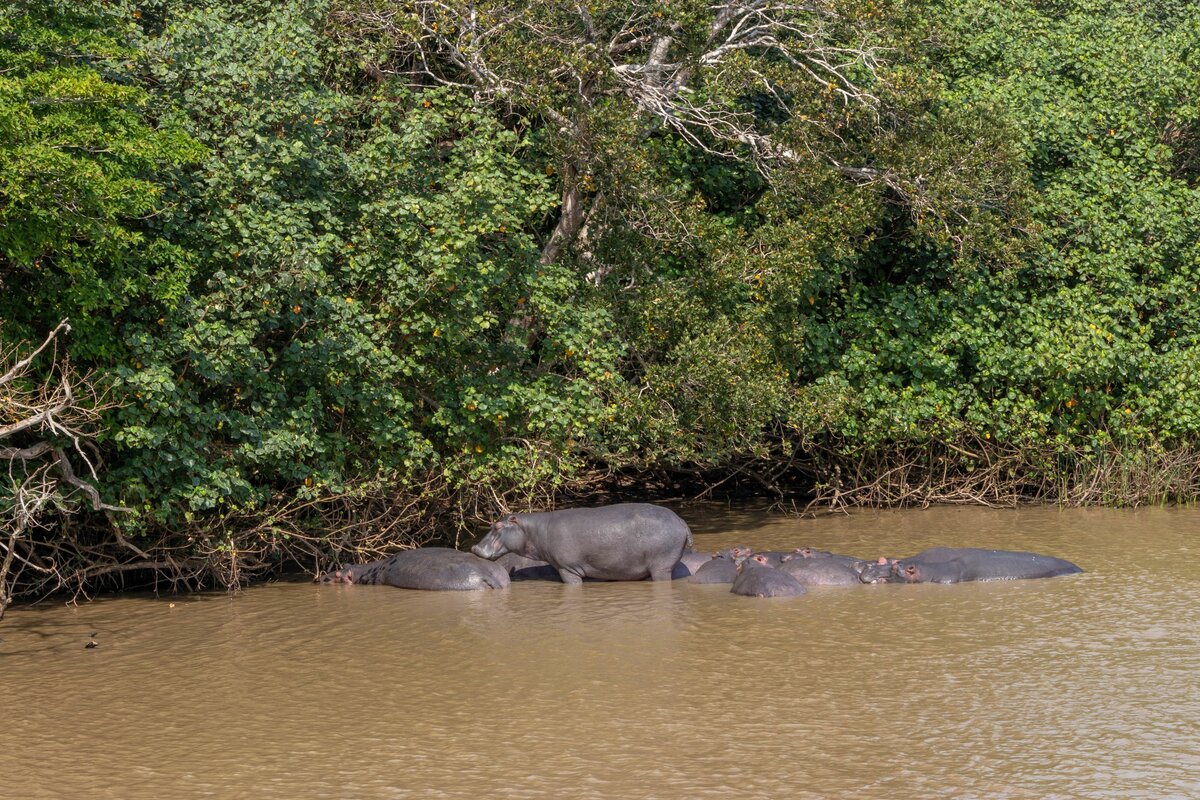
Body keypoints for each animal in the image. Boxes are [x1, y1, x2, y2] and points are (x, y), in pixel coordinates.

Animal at [470, 503, 696, 585]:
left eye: (498, 525)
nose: (474, 548)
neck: (533, 530)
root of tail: (681, 521)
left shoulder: (567, 568)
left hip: (661, 566)